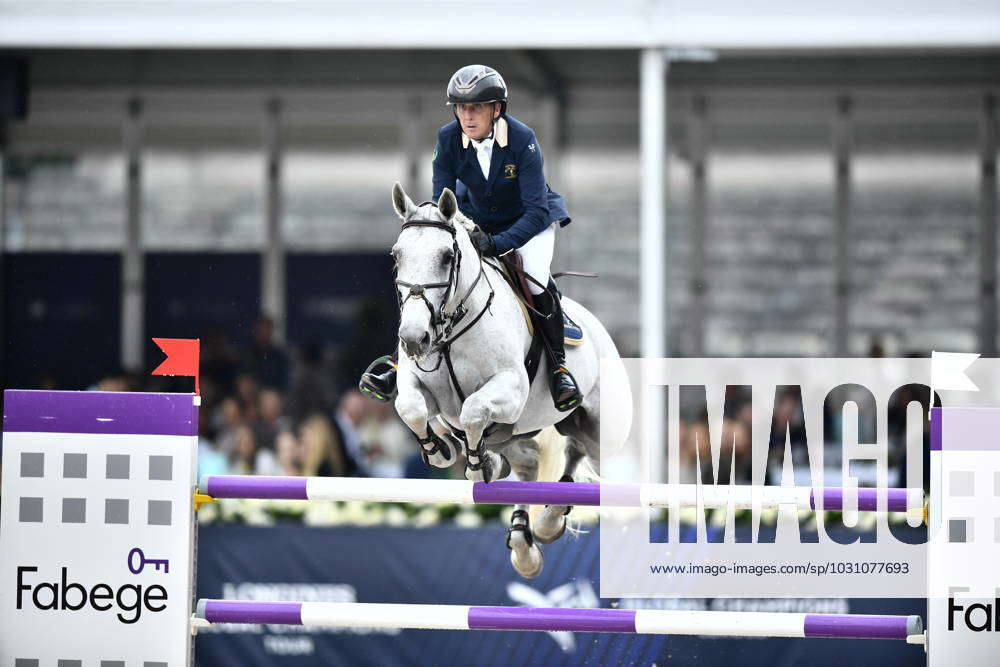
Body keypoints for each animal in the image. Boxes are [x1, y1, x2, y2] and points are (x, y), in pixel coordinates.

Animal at [388, 183, 628, 580]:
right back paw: (529, 536)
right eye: (397, 255)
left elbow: (472, 410)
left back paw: (546, 519)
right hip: (521, 434)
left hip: (597, 426)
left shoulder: (511, 389)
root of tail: (597, 326)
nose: (413, 339)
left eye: (446, 257)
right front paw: (441, 451)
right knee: (535, 463)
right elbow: (411, 408)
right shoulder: (420, 385)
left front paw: (475, 463)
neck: (452, 329)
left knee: (582, 456)